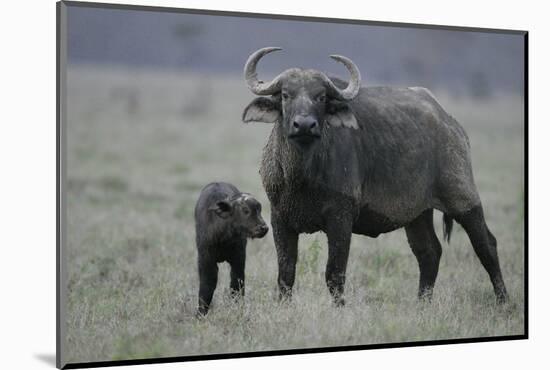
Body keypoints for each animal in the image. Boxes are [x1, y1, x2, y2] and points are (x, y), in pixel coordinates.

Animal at [244, 47, 512, 306]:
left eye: (321, 97)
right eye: (285, 95)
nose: (304, 125)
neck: (302, 177)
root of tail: (451, 125)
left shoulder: (340, 218)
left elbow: (334, 273)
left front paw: (339, 307)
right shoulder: (280, 217)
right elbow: (286, 273)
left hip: (462, 196)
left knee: (486, 245)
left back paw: (504, 300)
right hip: (417, 213)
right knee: (429, 252)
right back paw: (422, 304)